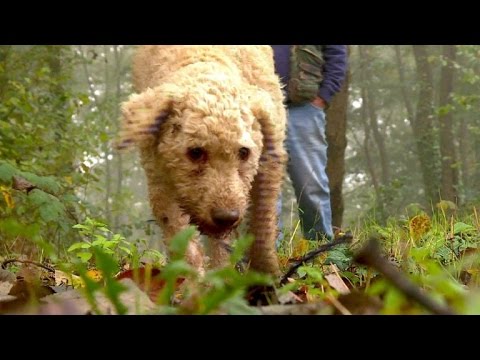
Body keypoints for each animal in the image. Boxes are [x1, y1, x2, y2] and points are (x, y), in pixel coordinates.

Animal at [118, 45, 286, 276]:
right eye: (195, 152)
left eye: (244, 152)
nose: (226, 217)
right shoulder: (159, 176)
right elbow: (179, 236)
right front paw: (195, 281)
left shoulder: (269, 160)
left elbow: (263, 220)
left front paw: (266, 273)